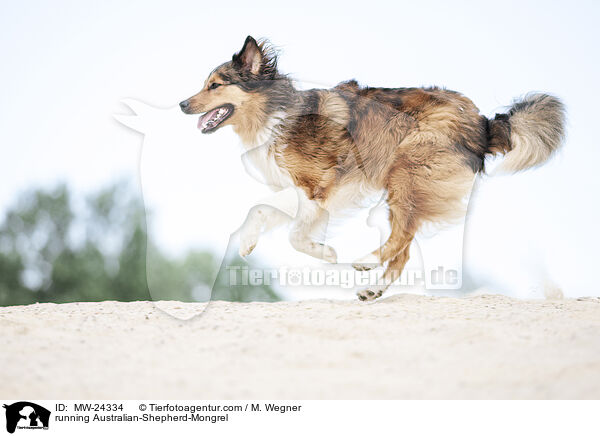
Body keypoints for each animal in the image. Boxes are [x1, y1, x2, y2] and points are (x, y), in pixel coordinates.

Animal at [180, 35, 564, 302]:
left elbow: (290, 233)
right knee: (404, 248)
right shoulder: (301, 191)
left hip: (406, 172)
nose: (182, 104)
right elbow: (261, 210)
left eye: (215, 85)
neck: (276, 113)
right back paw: (373, 290)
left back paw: (365, 260)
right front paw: (248, 242)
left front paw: (326, 252)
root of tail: (482, 121)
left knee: (400, 238)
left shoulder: (315, 186)